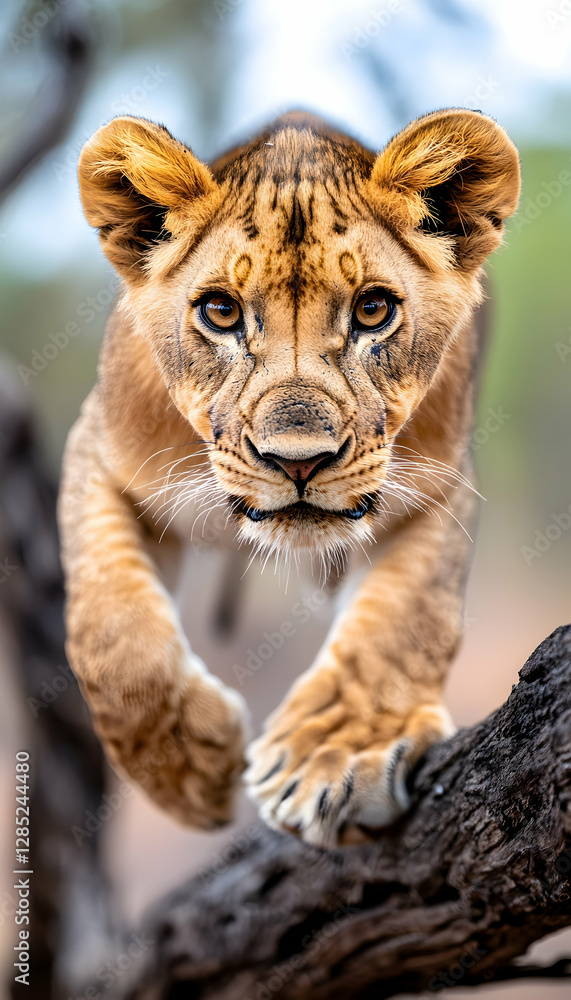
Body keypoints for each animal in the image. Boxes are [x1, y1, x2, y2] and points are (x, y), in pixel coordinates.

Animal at [58, 109, 520, 847]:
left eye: (372, 310)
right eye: (220, 312)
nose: (298, 459)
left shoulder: (438, 487)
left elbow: (401, 623)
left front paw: (336, 754)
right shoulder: (98, 453)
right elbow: (114, 635)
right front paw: (193, 770)